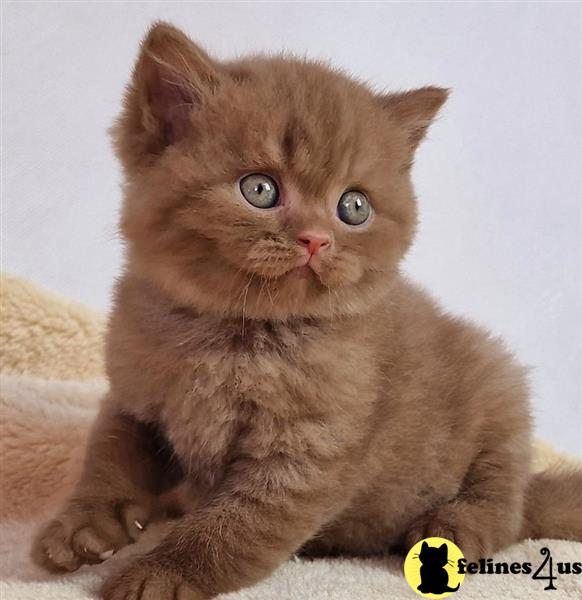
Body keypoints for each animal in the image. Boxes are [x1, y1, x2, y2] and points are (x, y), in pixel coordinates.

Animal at [32, 19, 582, 600]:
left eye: (354, 206)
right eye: (259, 189)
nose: (317, 239)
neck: (227, 333)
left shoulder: (308, 451)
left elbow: (234, 527)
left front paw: (160, 573)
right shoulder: (134, 398)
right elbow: (108, 458)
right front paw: (84, 527)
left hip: (498, 382)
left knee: (505, 502)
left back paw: (452, 528)